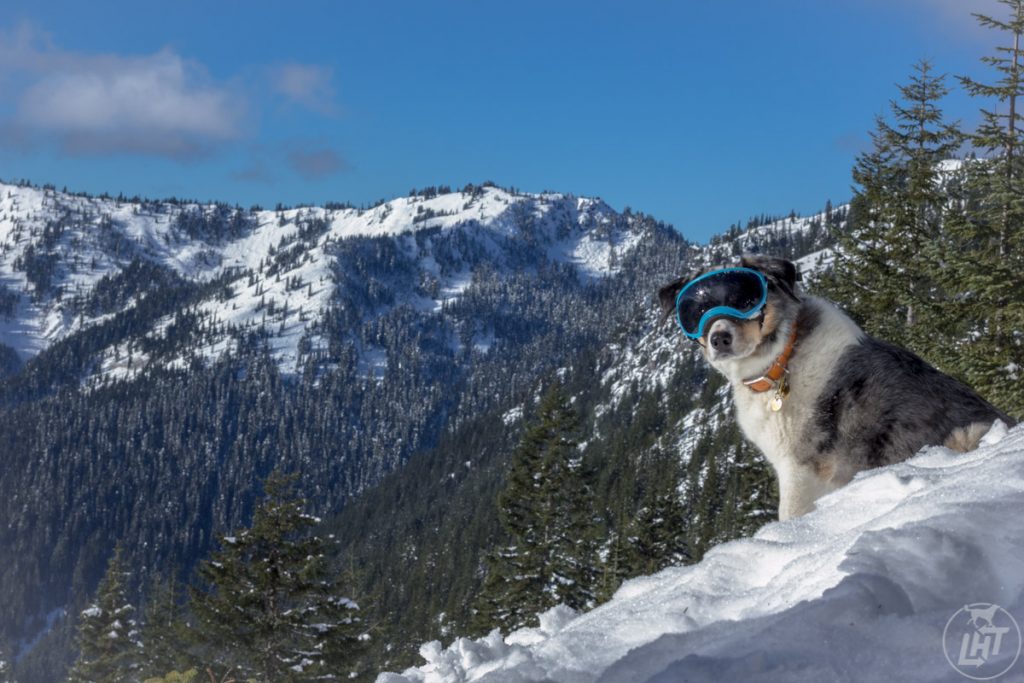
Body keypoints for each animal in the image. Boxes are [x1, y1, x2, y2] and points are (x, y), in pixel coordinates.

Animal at [659, 254, 1011, 518]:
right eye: (697, 309)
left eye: (745, 299)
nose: (719, 338)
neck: (782, 360)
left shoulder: (800, 468)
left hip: (966, 435)